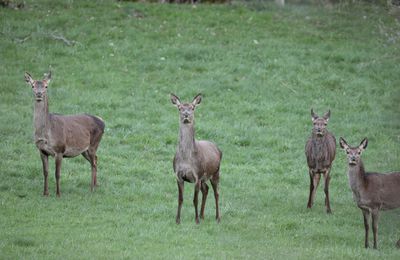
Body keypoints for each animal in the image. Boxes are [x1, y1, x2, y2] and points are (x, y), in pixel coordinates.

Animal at [170, 94, 223, 224]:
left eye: (192, 107)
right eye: (179, 108)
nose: (186, 114)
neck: (186, 159)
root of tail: (218, 149)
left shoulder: (197, 175)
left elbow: (195, 199)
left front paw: (196, 220)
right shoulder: (178, 175)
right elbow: (180, 198)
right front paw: (177, 220)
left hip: (216, 172)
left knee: (217, 193)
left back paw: (217, 217)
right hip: (205, 177)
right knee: (206, 189)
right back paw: (202, 215)